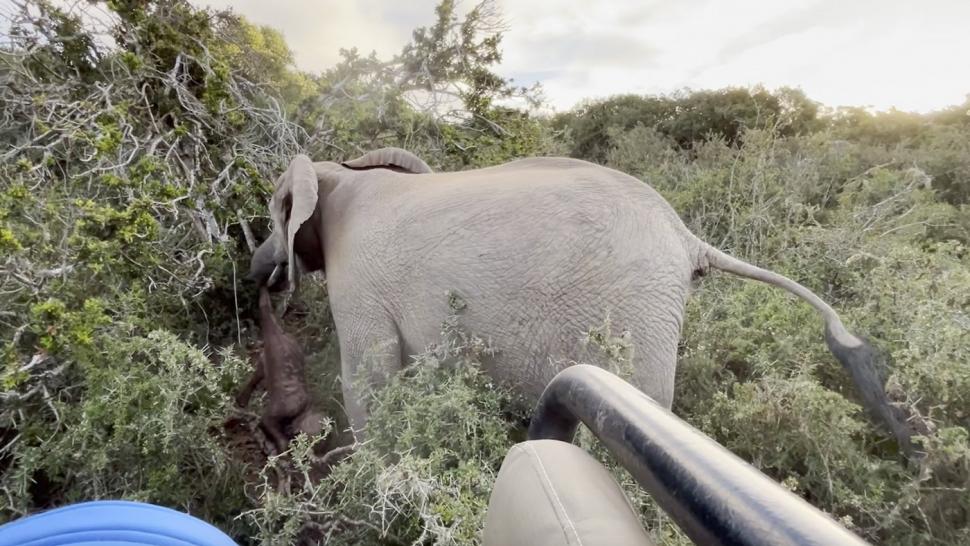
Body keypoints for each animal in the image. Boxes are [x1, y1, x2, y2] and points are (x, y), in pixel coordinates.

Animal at [247, 147, 915, 453]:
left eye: (272, 213)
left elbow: (369, 382)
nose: (255, 272)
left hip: (639, 310)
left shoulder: (360, 287)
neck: (340, 175)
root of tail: (685, 237)